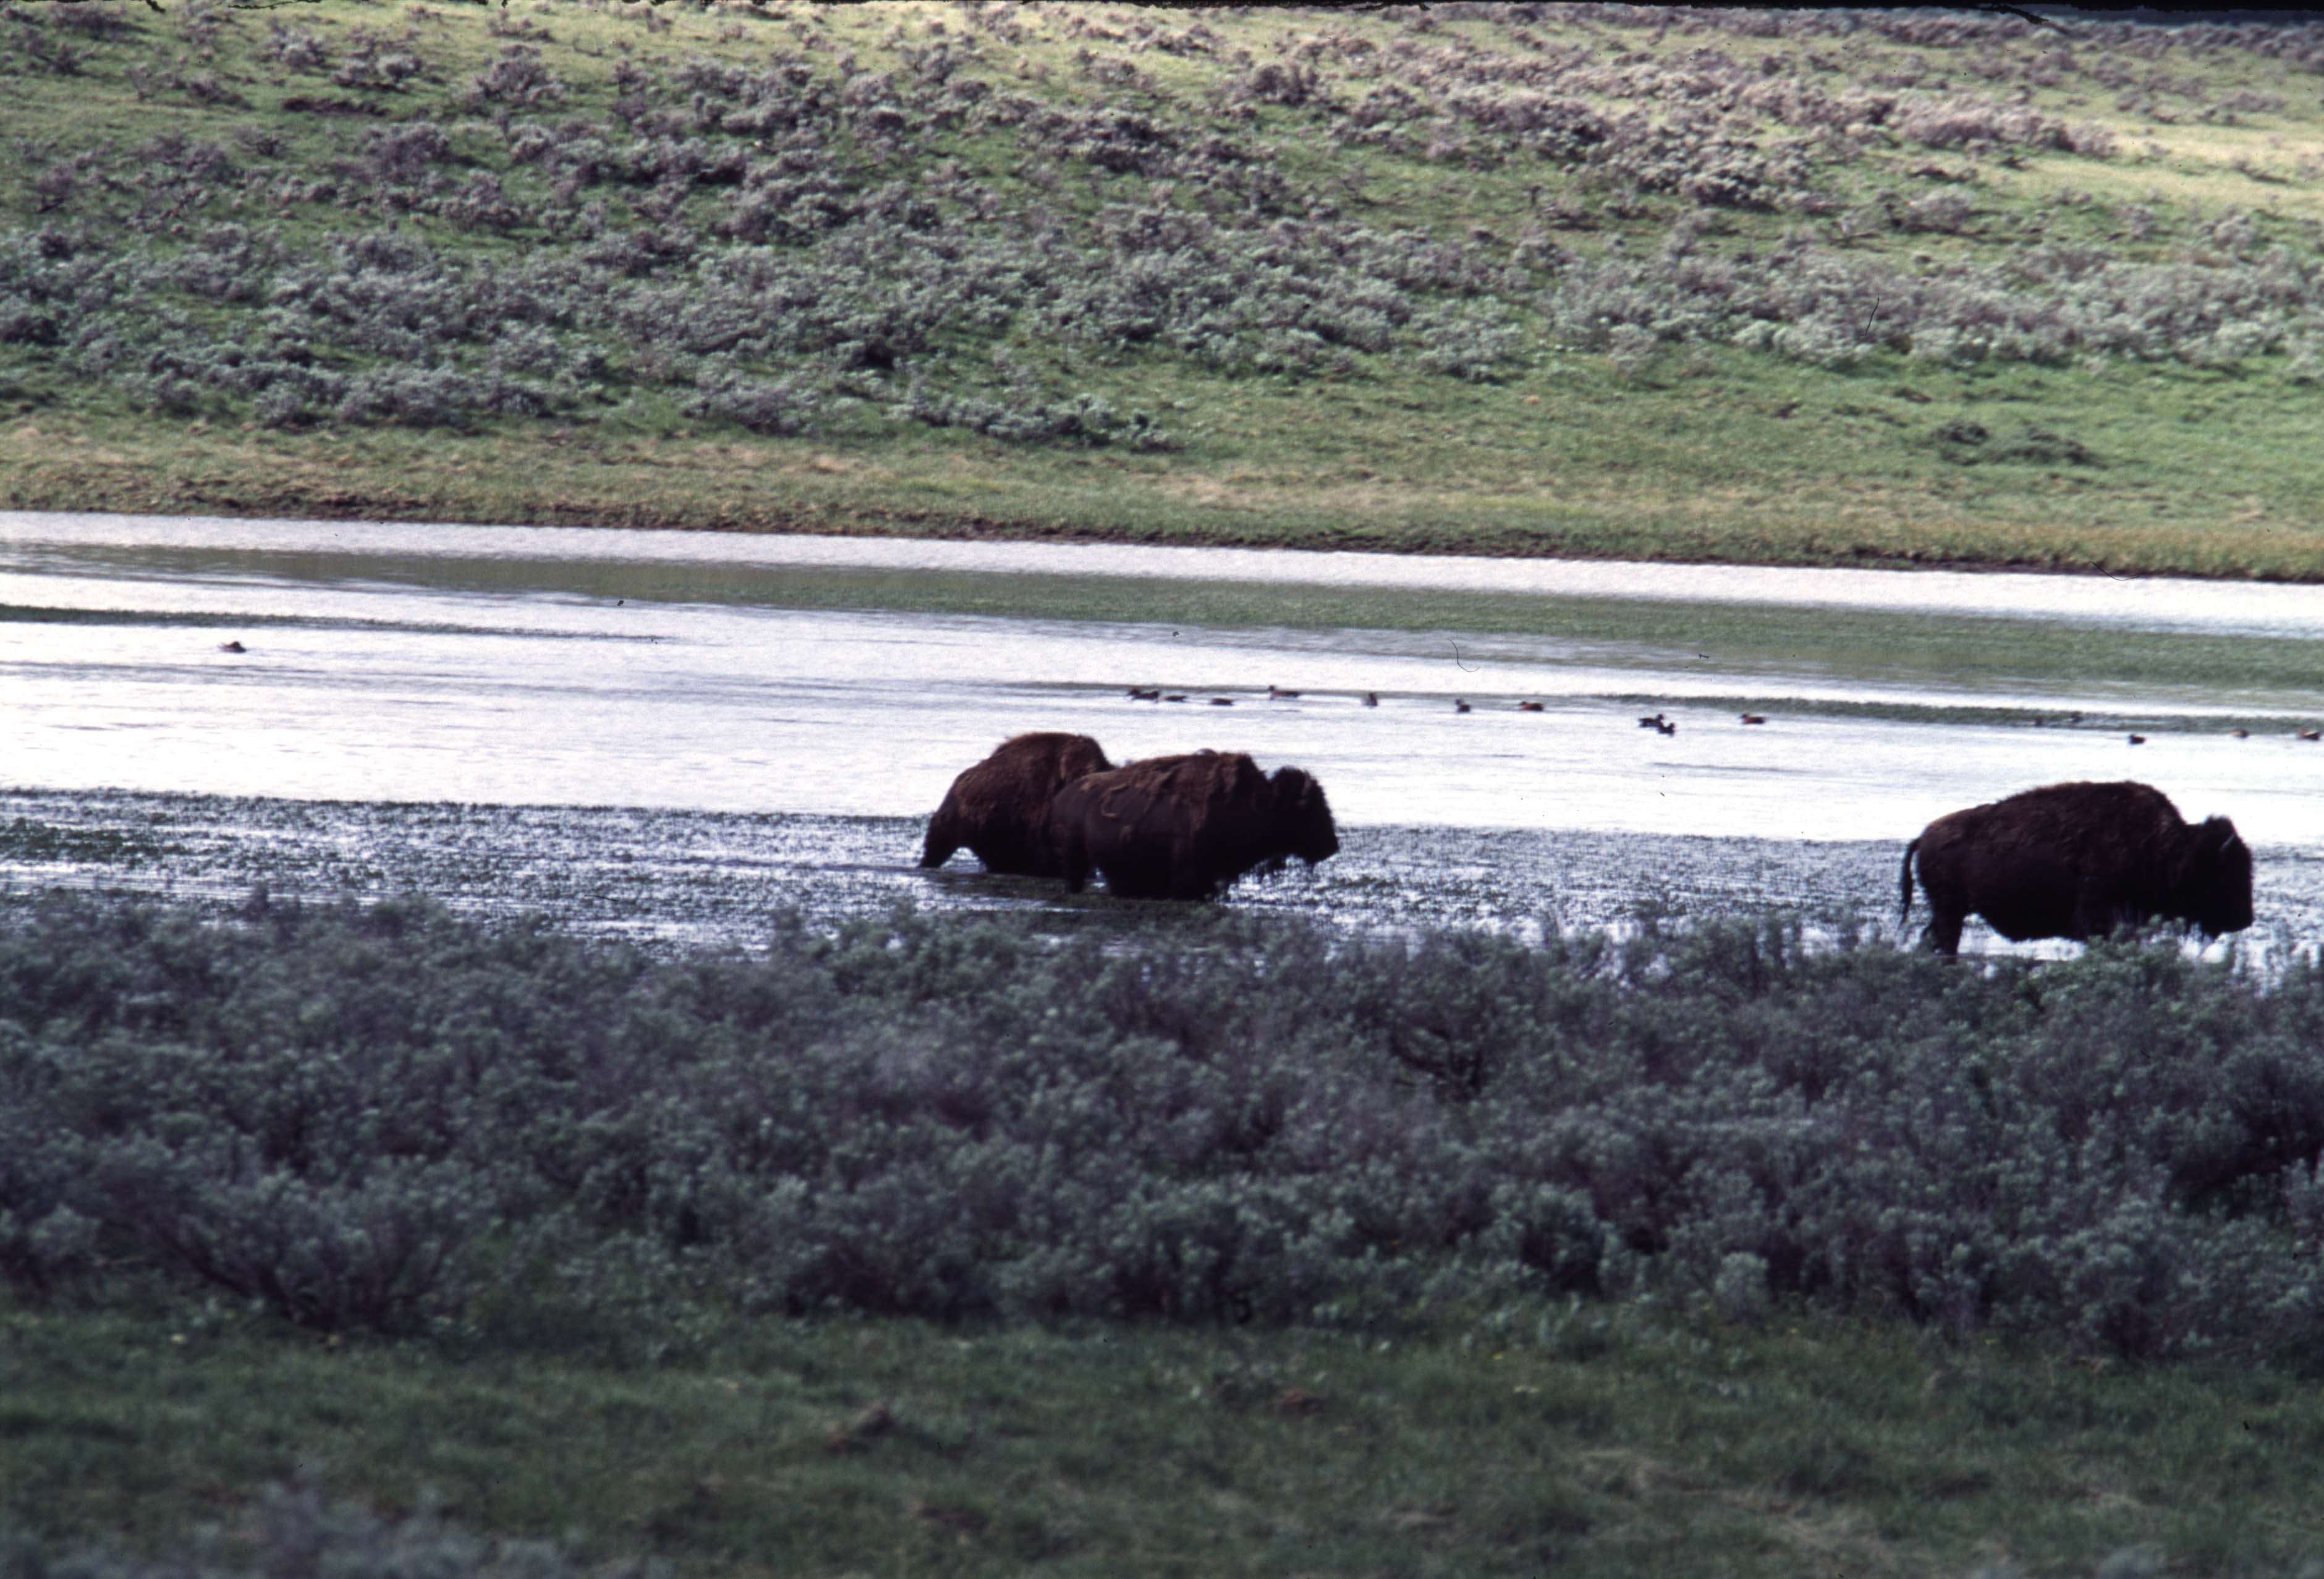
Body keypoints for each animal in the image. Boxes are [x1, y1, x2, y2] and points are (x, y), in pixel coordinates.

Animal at [1046, 750, 1339, 900]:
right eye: (1311, 811)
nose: (1332, 846)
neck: (1262, 803)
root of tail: (1064, 797)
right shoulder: (1188, 880)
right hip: (1076, 860)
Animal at [1901, 779, 2252, 955]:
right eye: (2227, 871)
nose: (2246, 920)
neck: (2170, 847)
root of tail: (1924, 836)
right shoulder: (2099, 921)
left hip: (1949, 911)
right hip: (1950, 911)